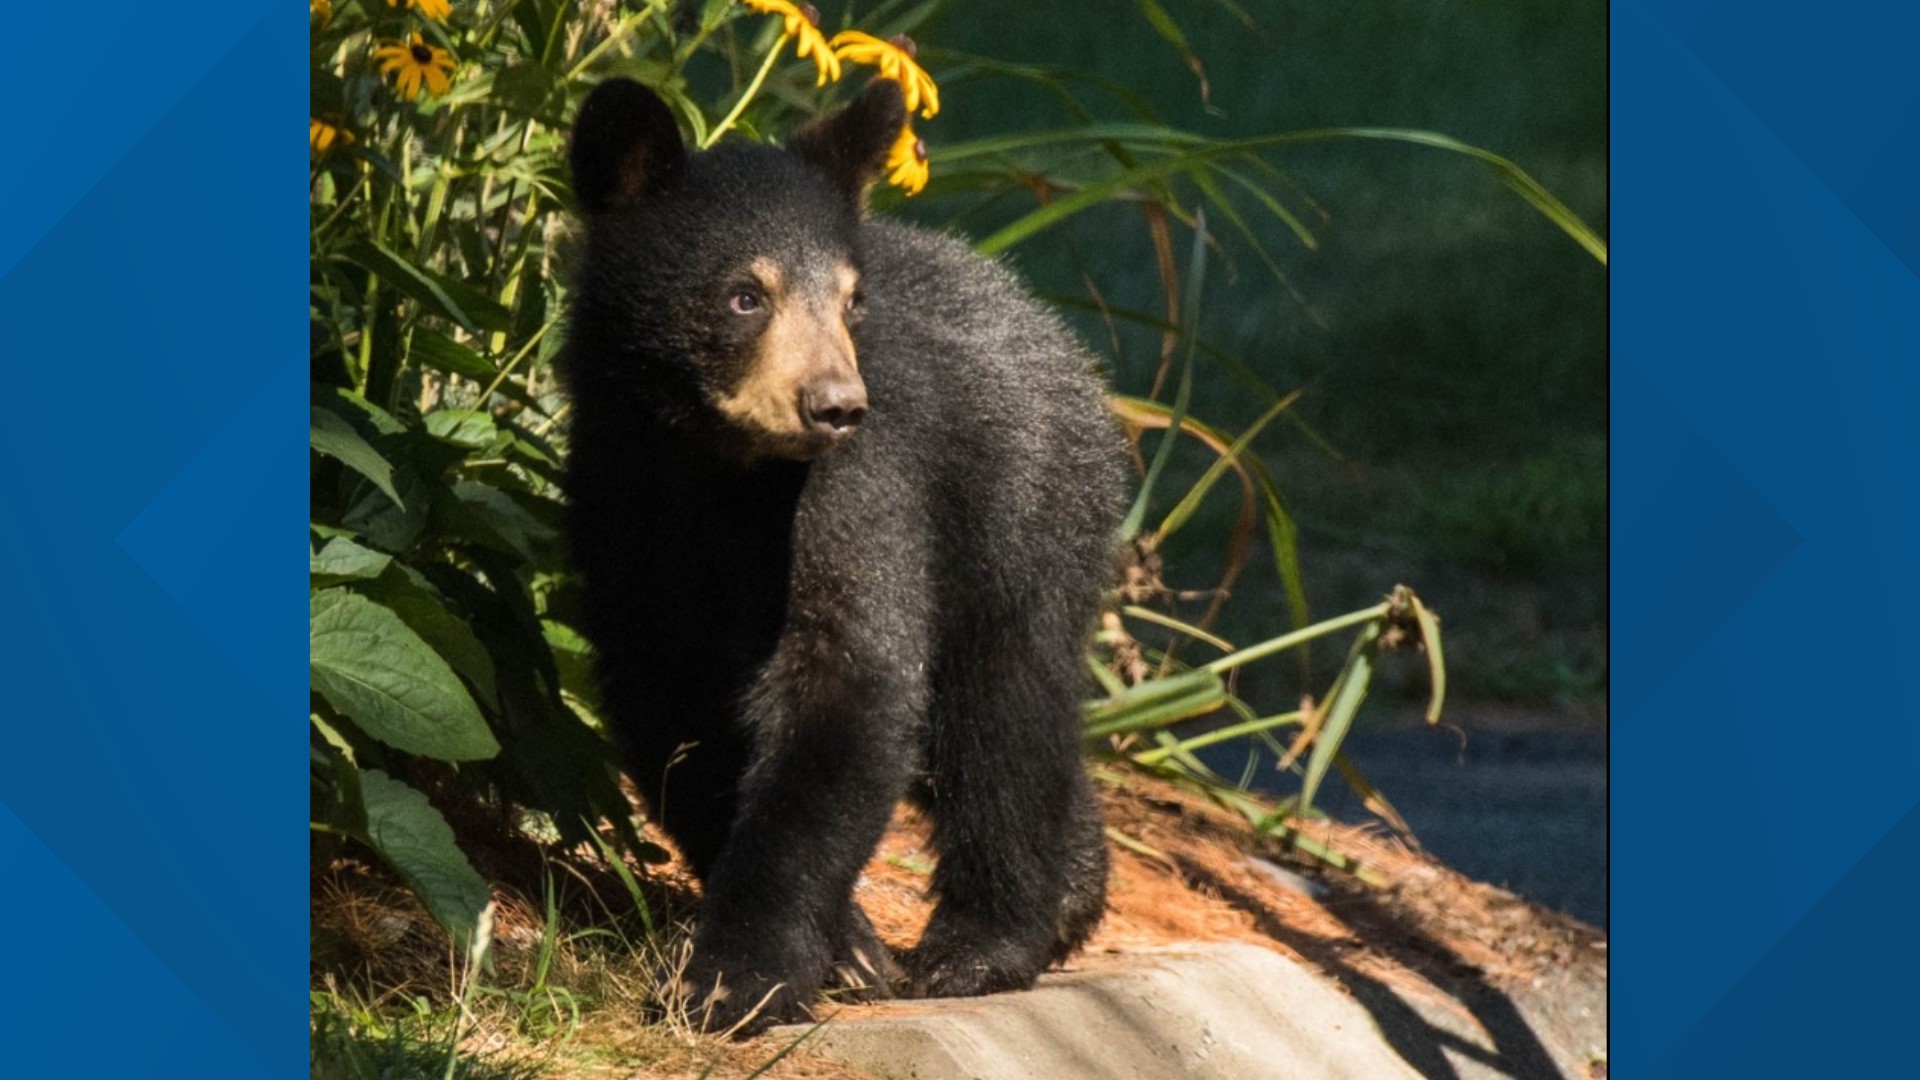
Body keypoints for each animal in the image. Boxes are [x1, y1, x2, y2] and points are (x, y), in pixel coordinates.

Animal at [560, 77, 1127, 1034]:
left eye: (852, 301)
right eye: (746, 296)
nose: (833, 405)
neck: (716, 471)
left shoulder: (863, 485)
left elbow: (849, 676)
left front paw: (737, 978)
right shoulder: (618, 496)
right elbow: (668, 704)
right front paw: (845, 945)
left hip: (1023, 513)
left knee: (1003, 716)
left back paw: (982, 944)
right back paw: (1072, 895)